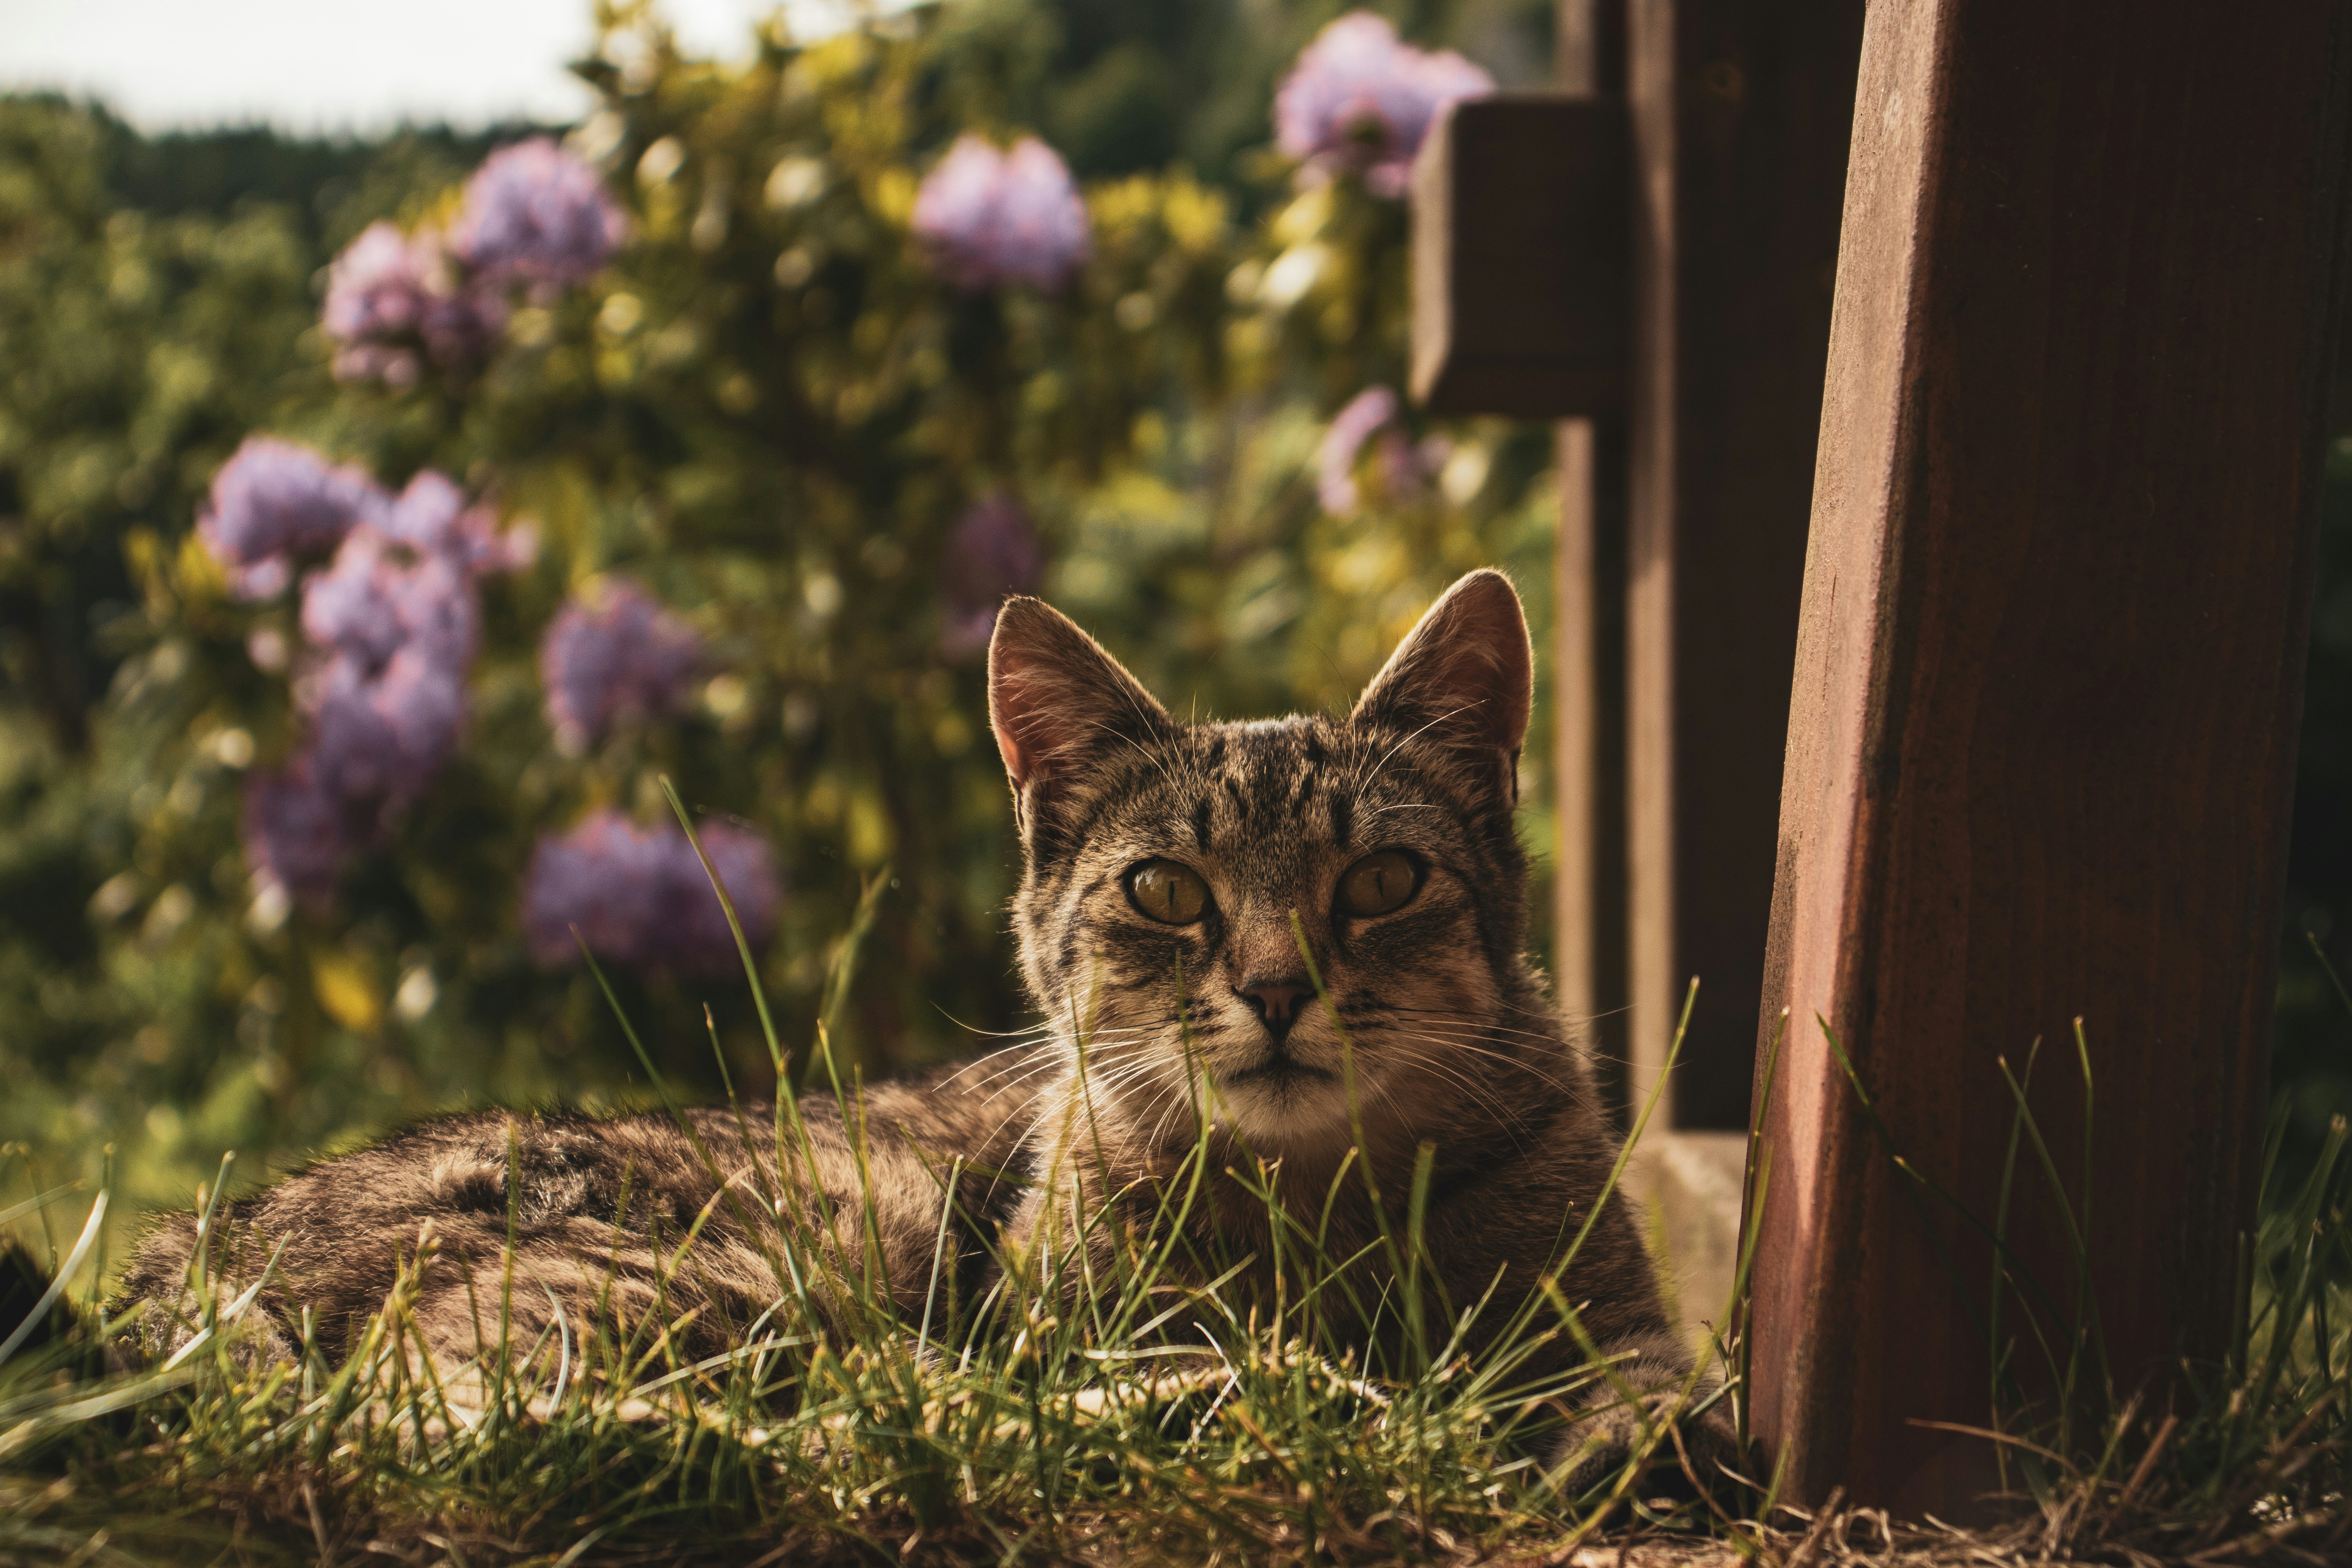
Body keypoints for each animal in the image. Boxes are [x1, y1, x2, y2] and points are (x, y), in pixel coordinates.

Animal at [114, 573, 1731, 1486]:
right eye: (1166, 888)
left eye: (1382, 880)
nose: (1277, 987)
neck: (1314, 1215)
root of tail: (201, 1238)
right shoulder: (1050, 1309)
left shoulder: (1617, 1312)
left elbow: (1656, 1376)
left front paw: (1627, 1439)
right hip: (765, 1253)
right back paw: (1248, 1399)